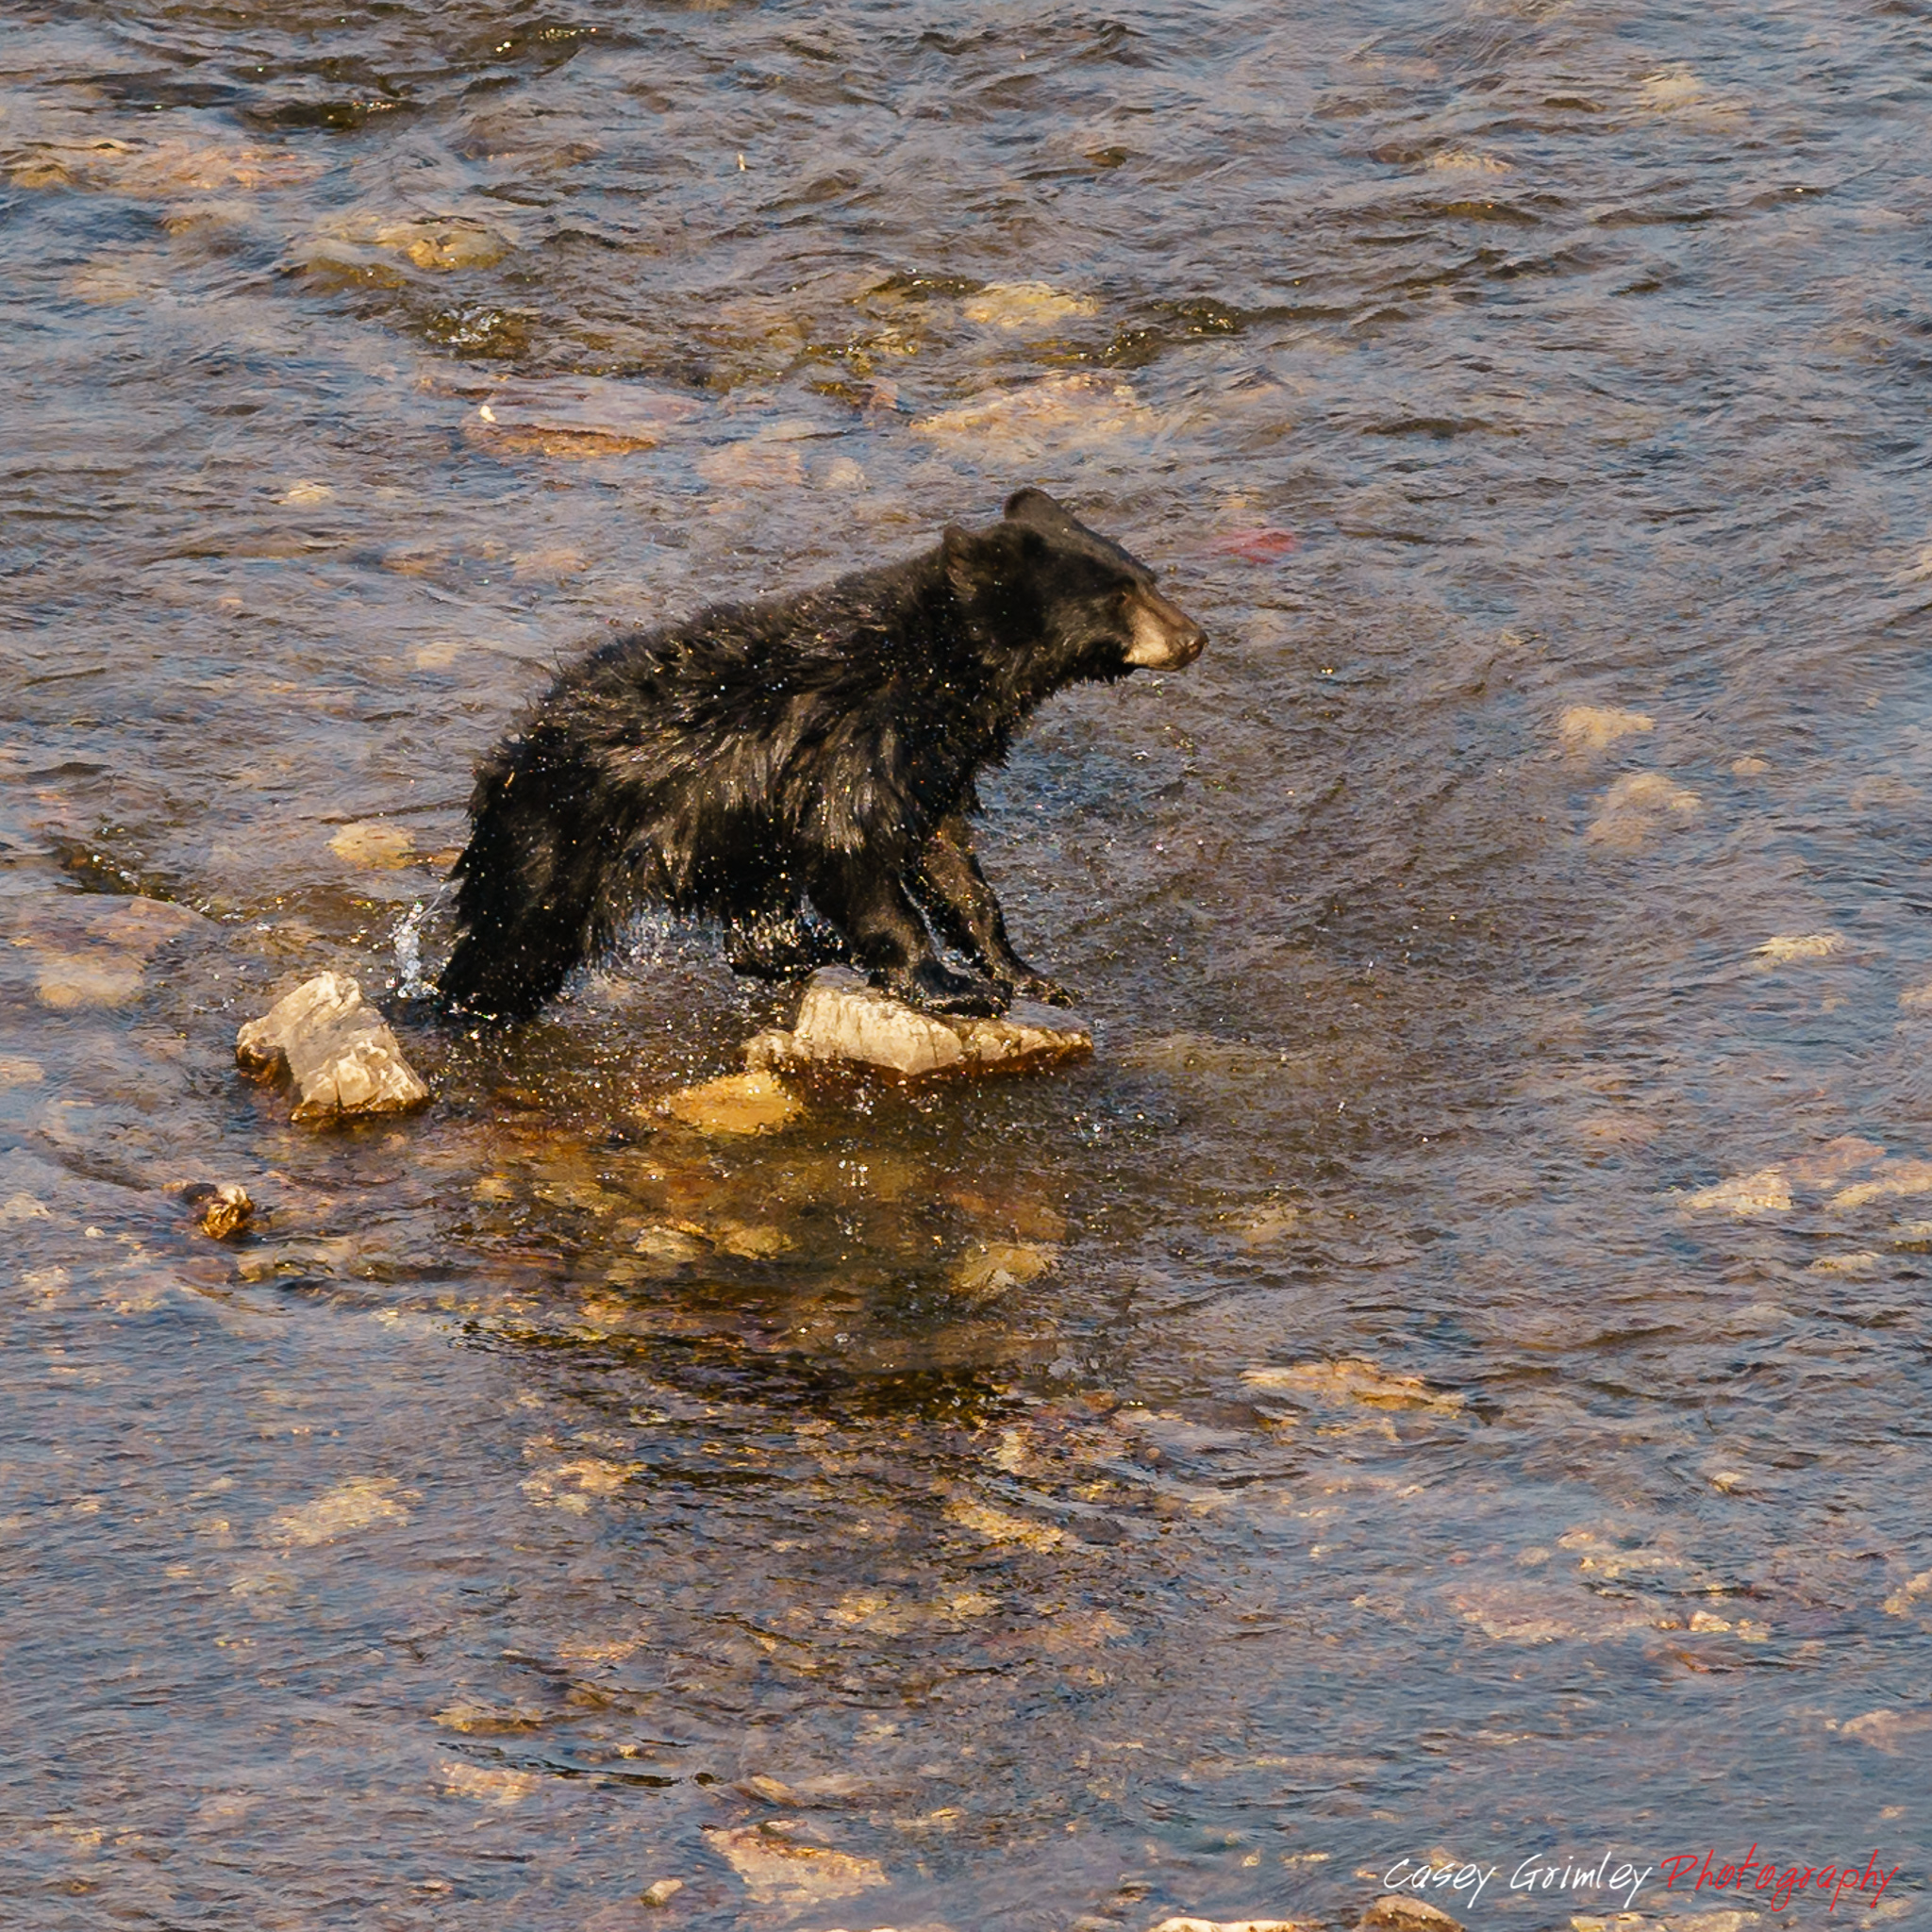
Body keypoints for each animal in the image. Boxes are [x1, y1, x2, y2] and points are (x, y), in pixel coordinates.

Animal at [441, 487, 1205, 1027]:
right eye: (1119, 596)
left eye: (1148, 578)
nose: (1194, 637)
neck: (943, 665)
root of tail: (509, 757)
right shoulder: (860, 737)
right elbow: (851, 847)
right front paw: (950, 987)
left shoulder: (933, 762)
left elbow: (951, 864)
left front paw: (1022, 971)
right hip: (561, 843)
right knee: (511, 944)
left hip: (727, 844)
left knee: (755, 929)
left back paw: (809, 948)